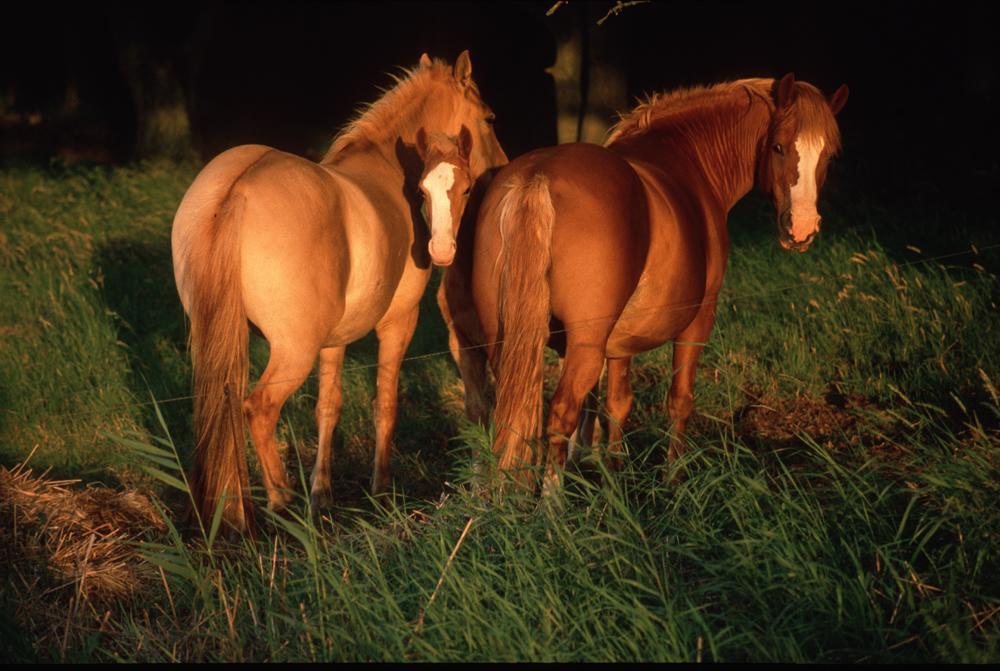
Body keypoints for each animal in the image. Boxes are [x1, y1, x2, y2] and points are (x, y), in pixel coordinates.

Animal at [169, 52, 508, 532]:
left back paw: (237, 512)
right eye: (489, 118)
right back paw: (281, 500)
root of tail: (238, 189)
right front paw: (380, 492)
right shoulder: (398, 324)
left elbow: (328, 407)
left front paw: (322, 496)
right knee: (259, 409)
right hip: (293, 351)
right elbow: (386, 402)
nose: (501, 167)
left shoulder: (334, 341)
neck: (386, 170)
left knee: (226, 408)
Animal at [464, 76, 848, 488]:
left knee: (513, 414)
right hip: (583, 347)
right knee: (560, 414)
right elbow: (680, 400)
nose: (802, 228)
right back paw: (551, 502)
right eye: (778, 146)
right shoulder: (697, 321)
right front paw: (673, 478)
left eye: (829, 156)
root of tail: (539, 177)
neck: (687, 160)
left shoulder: (618, 344)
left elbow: (616, 404)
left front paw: (614, 479)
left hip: (507, 342)